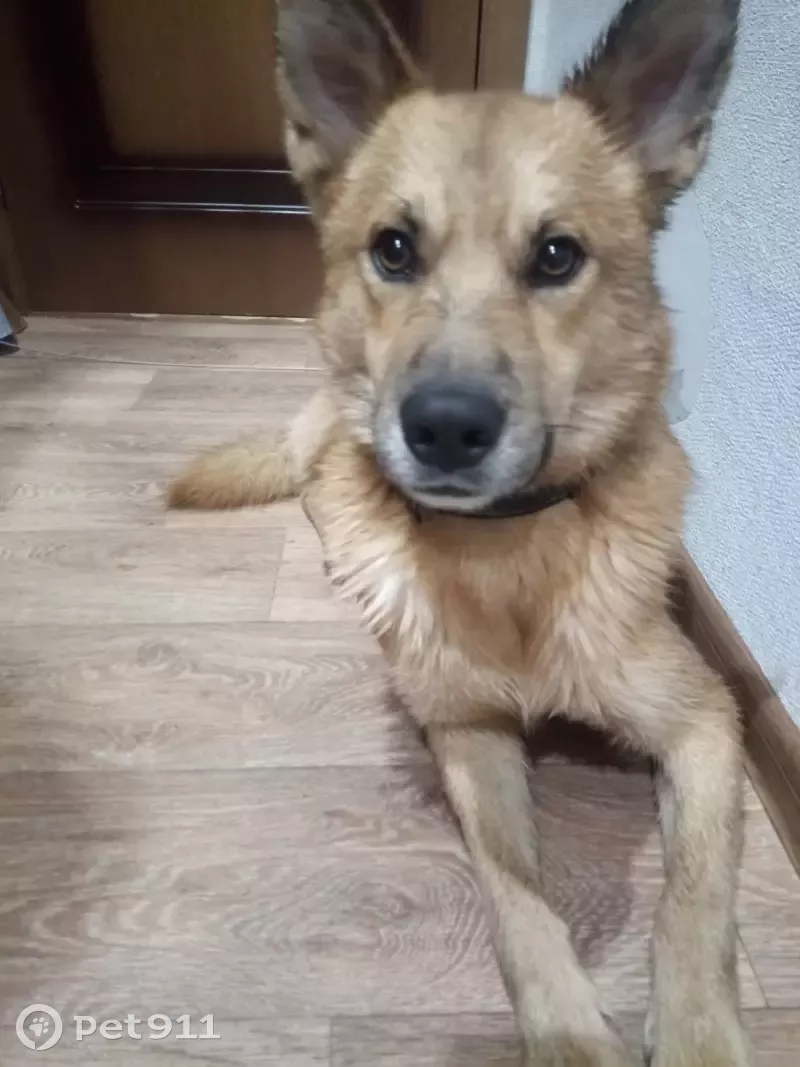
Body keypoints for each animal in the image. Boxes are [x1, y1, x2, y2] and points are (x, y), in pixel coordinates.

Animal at [170, 1, 750, 1063]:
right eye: (394, 249)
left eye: (557, 256)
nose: (443, 427)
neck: (507, 558)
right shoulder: (468, 732)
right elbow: (516, 895)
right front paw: (568, 1030)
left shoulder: (703, 720)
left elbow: (695, 889)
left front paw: (697, 1033)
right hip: (329, 466)